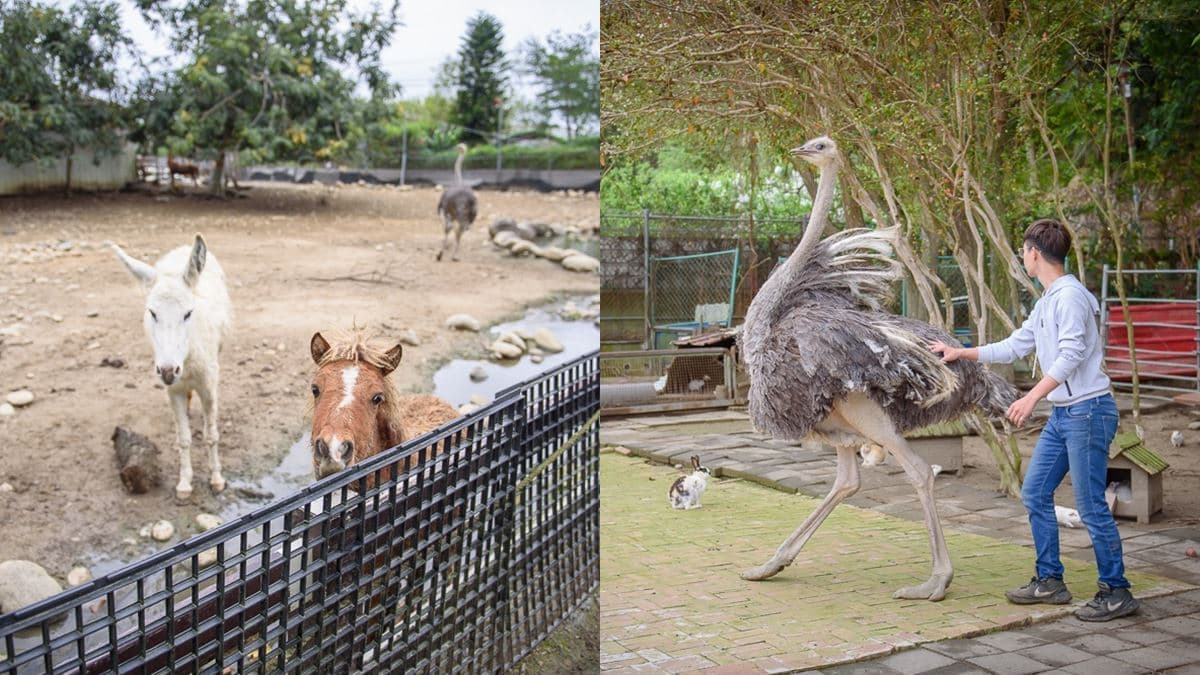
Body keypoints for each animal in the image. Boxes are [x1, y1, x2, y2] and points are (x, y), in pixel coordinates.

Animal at [111, 234, 232, 501]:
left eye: (188, 313)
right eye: (152, 313)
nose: (167, 370)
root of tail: (184, 248)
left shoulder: (209, 385)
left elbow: (211, 435)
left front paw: (216, 479)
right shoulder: (172, 389)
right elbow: (183, 439)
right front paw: (184, 484)